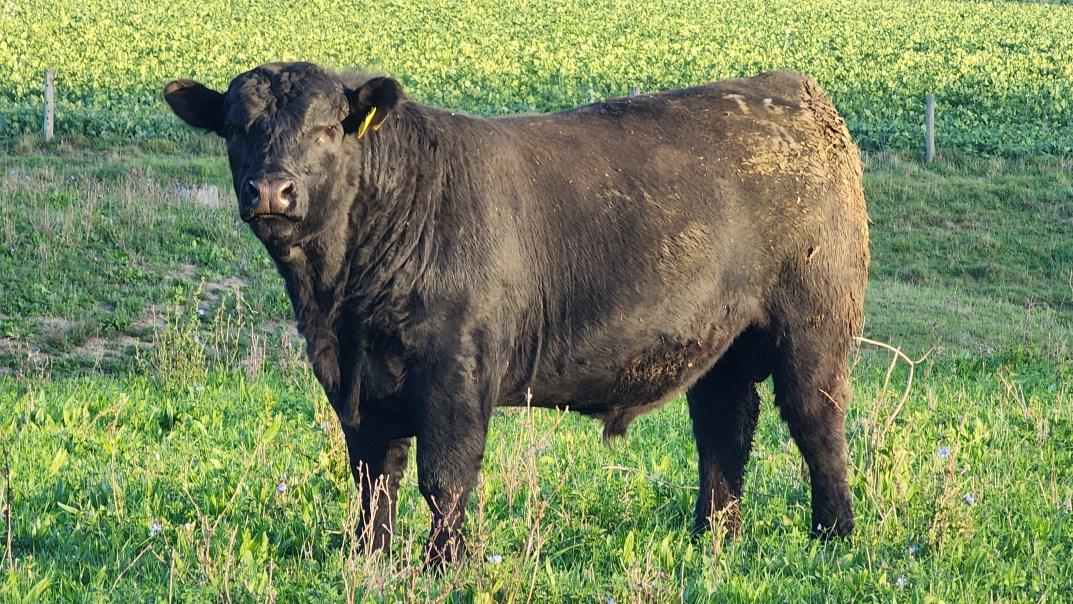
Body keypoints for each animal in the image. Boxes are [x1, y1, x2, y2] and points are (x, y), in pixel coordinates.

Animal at [163, 62, 869, 564]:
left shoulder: (456, 374)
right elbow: (373, 479)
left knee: (817, 425)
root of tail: (793, 90)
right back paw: (713, 538)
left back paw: (833, 537)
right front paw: (366, 558)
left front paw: (442, 565)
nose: (271, 190)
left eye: (327, 128)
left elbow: (444, 479)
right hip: (722, 346)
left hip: (814, 329)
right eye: (235, 127)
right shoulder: (357, 385)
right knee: (724, 429)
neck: (340, 300)